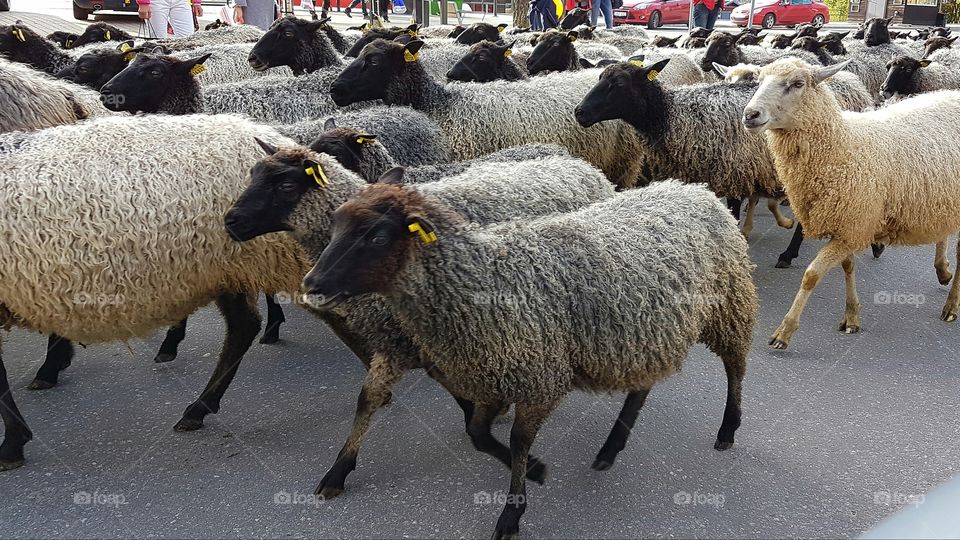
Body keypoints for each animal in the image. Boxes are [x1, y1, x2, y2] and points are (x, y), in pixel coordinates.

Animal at [0, 113, 361, 471]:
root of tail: (272, 136)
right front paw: (16, 436)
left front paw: (13, 443)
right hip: (228, 269)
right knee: (243, 327)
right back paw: (199, 408)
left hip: (278, 257)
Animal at [224, 143, 620, 500]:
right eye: (253, 173)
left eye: (286, 185)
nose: (230, 221)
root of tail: (579, 165)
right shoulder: (401, 341)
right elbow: (367, 399)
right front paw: (338, 471)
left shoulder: (427, 340)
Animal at [302, 179, 757, 539]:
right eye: (336, 223)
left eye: (377, 236)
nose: (311, 285)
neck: (487, 279)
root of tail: (695, 190)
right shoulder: (491, 377)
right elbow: (477, 433)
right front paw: (535, 470)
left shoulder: (540, 377)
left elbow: (517, 440)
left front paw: (513, 510)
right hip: (644, 336)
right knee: (641, 388)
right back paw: (611, 448)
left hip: (729, 304)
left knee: (736, 367)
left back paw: (728, 428)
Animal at [743, 58, 960, 350]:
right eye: (759, 81)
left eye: (798, 83)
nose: (750, 115)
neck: (843, 146)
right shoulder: (847, 226)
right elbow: (848, 267)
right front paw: (852, 317)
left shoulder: (852, 225)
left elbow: (811, 275)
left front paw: (785, 331)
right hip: (942, 199)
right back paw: (942, 271)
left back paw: (951, 305)